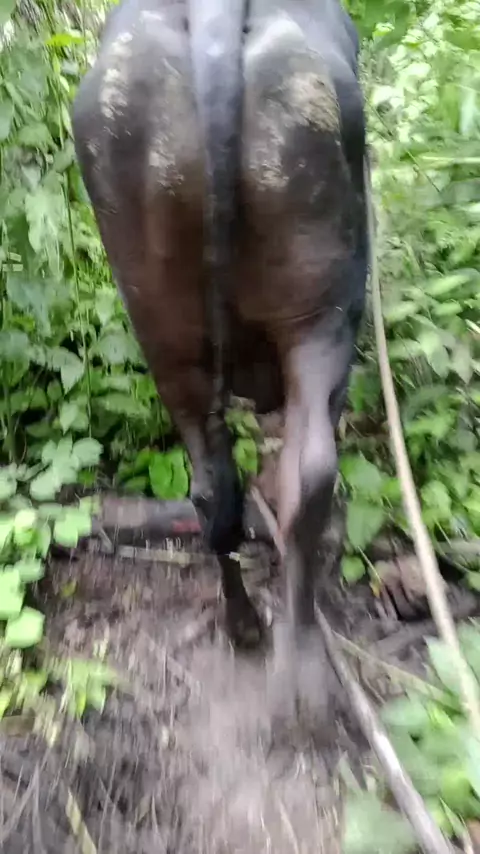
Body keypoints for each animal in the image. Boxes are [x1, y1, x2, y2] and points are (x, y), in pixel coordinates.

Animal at [72, 0, 368, 717]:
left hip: (163, 327)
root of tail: (214, 16)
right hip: (322, 318)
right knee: (309, 475)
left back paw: (244, 629)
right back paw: (301, 665)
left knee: (214, 491)